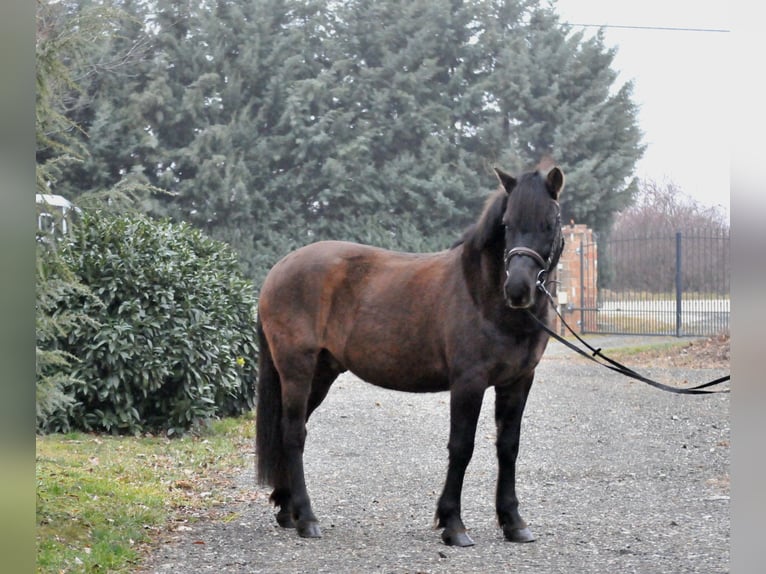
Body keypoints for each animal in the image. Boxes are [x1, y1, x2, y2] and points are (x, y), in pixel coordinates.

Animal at [256, 166, 564, 548]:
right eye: (507, 224)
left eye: (549, 223)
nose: (518, 289)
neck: (482, 294)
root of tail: (278, 269)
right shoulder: (469, 383)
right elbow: (461, 446)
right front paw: (453, 524)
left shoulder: (518, 381)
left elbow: (508, 447)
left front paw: (513, 522)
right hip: (296, 368)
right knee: (294, 433)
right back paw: (307, 518)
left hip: (321, 373)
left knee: (289, 430)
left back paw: (288, 510)